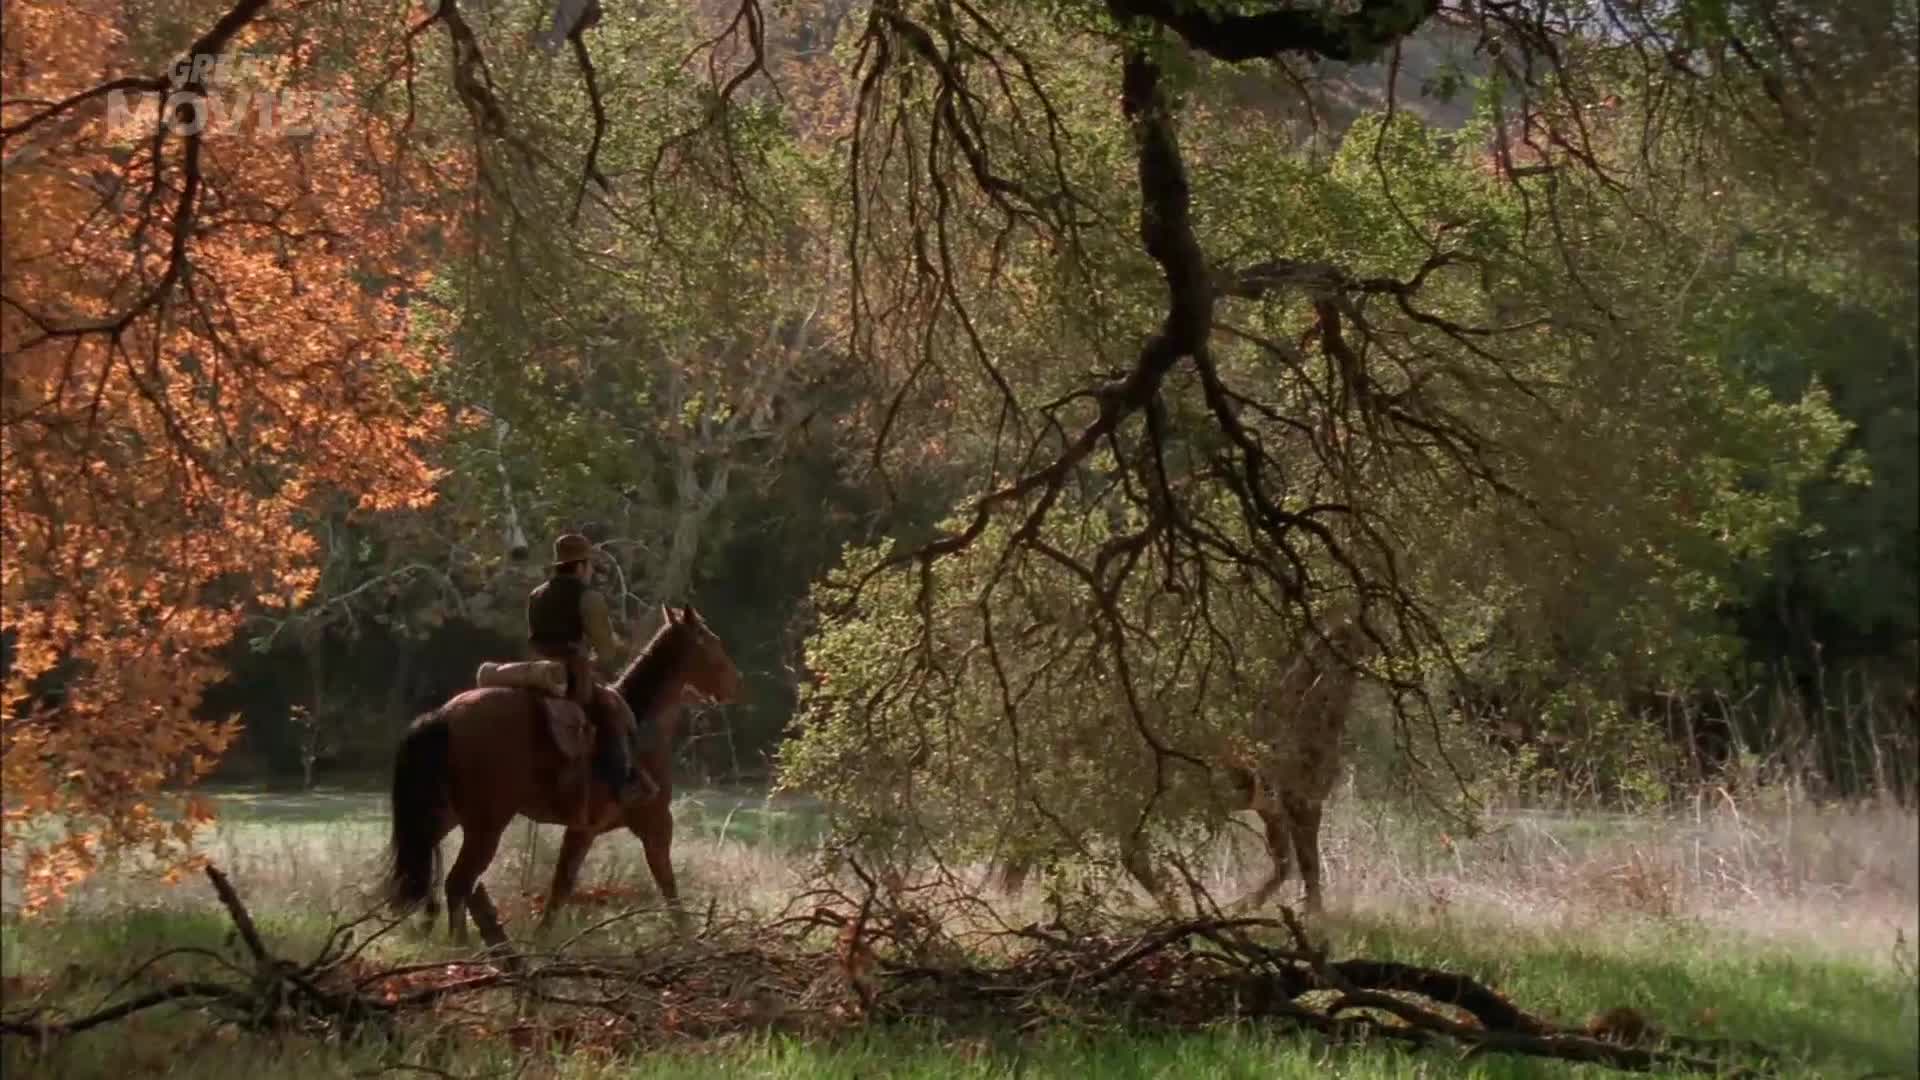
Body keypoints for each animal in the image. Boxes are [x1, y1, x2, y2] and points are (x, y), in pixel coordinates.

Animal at [377, 605, 744, 944]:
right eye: (712, 643)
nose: (736, 685)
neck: (641, 725)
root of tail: (443, 715)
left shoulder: (583, 830)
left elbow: (561, 887)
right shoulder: (649, 823)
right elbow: (663, 883)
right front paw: (689, 936)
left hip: (445, 817)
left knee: (433, 870)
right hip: (486, 825)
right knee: (458, 883)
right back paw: (464, 946)